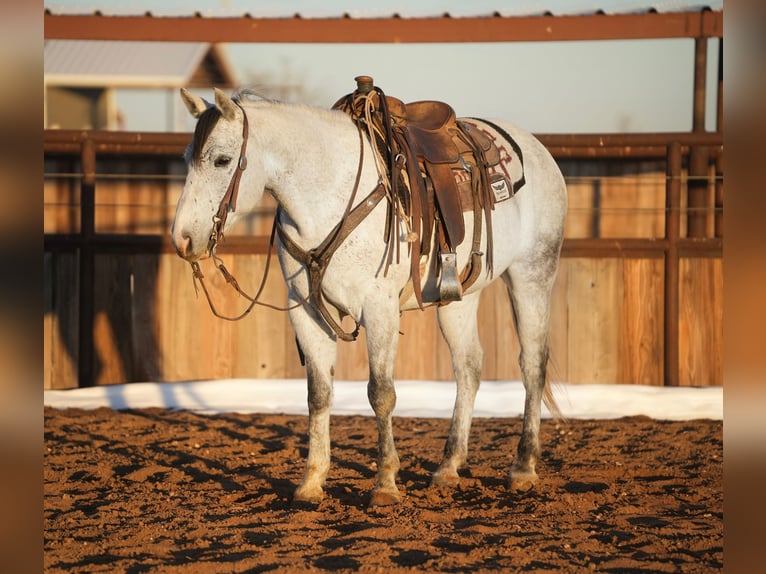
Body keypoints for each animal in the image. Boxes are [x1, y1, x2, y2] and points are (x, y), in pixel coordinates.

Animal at [174, 88, 568, 506]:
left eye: (222, 159)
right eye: (187, 158)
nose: (181, 239)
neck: (328, 193)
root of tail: (535, 148)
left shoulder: (379, 309)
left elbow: (381, 393)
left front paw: (386, 484)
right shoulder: (306, 310)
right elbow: (318, 394)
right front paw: (311, 482)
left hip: (532, 274)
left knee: (532, 365)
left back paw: (523, 467)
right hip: (461, 296)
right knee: (469, 366)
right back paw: (448, 467)